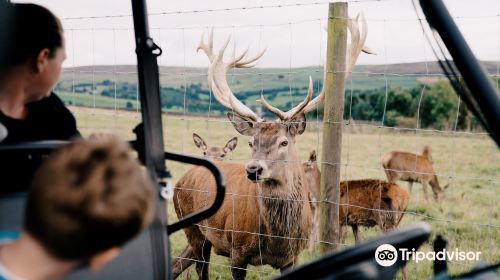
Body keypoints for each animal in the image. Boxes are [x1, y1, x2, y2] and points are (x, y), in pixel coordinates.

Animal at [172, 15, 372, 280]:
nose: (253, 170)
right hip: (193, 227)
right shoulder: (237, 251)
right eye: (251, 142)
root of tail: (180, 180)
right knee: (198, 267)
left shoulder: (293, 256)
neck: (277, 238)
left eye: (284, 142)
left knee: (178, 263)